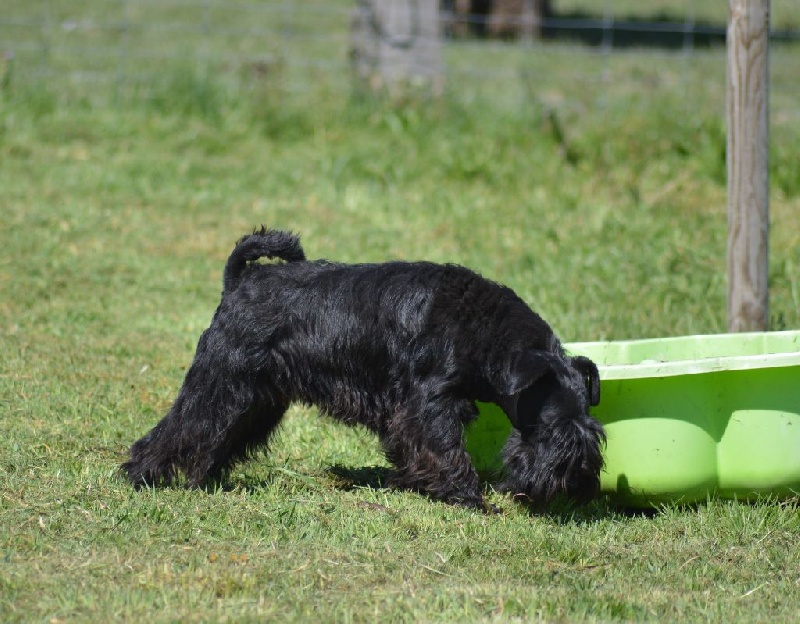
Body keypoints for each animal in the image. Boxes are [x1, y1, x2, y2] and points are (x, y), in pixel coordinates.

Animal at [122, 227, 604, 510]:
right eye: (557, 429)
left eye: (593, 426)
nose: (578, 479)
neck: (485, 330)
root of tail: (240, 281)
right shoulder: (430, 406)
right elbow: (445, 449)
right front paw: (467, 497)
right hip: (221, 383)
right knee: (179, 427)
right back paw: (140, 475)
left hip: (255, 401)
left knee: (215, 436)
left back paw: (203, 477)